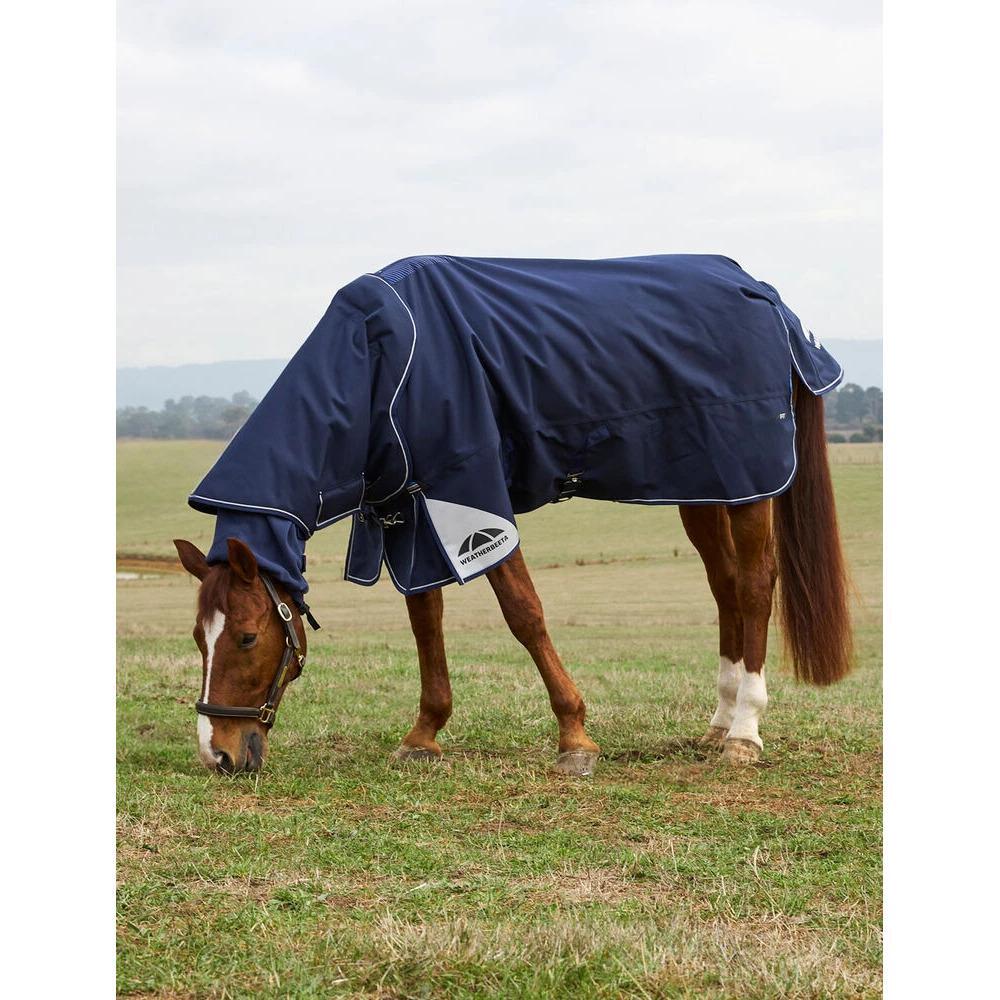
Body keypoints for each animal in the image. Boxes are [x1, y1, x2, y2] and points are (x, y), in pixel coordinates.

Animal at [172, 254, 852, 775]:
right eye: (198, 640)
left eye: (247, 636)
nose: (217, 755)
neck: (380, 363)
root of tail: (762, 294)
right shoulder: (409, 509)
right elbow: (425, 620)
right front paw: (424, 734)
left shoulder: (473, 500)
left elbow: (523, 613)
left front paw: (575, 738)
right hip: (705, 488)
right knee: (727, 587)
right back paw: (718, 722)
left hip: (749, 486)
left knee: (756, 584)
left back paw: (744, 733)